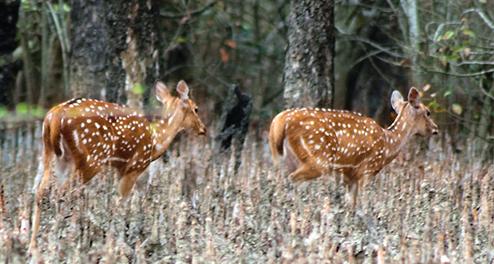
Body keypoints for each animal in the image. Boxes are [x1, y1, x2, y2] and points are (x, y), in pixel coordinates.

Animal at [29, 80, 206, 250]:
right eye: (196, 109)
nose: (203, 129)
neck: (156, 141)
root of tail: (55, 115)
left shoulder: (120, 168)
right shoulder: (135, 166)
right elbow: (120, 202)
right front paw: (120, 240)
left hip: (53, 155)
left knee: (41, 192)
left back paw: (35, 245)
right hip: (91, 158)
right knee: (64, 193)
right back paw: (65, 240)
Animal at [268, 87, 438, 207]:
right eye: (428, 112)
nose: (436, 129)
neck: (388, 143)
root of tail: (280, 121)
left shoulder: (350, 176)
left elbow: (351, 205)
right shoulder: (368, 169)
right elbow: (361, 203)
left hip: (282, 158)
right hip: (319, 158)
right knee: (292, 179)